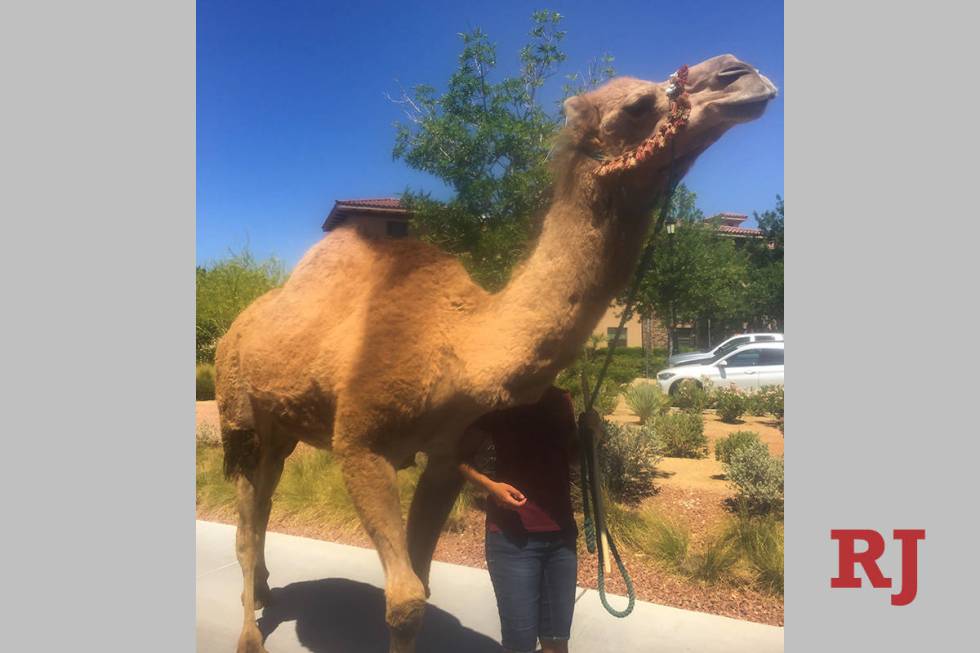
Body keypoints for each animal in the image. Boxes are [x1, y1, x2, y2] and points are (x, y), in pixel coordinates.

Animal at [214, 53, 772, 648]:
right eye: (637, 105)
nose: (741, 73)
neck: (463, 347)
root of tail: (235, 328)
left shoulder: (446, 453)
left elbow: (420, 583)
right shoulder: (360, 445)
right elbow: (405, 599)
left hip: (282, 427)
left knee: (264, 503)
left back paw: (267, 593)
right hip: (240, 414)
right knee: (245, 522)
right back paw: (250, 634)